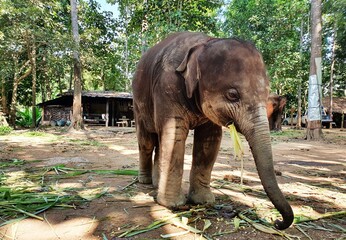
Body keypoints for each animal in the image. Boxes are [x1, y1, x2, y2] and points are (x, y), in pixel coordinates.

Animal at [131, 31, 294, 230]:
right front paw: (172, 205)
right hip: (138, 106)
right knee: (147, 142)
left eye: (266, 94)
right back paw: (145, 182)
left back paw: (155, 184)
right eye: (232, 95)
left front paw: (203, 201)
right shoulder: (166, 86)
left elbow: (210, 141)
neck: (204, 43)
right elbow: (174, 134)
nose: (277, 222)